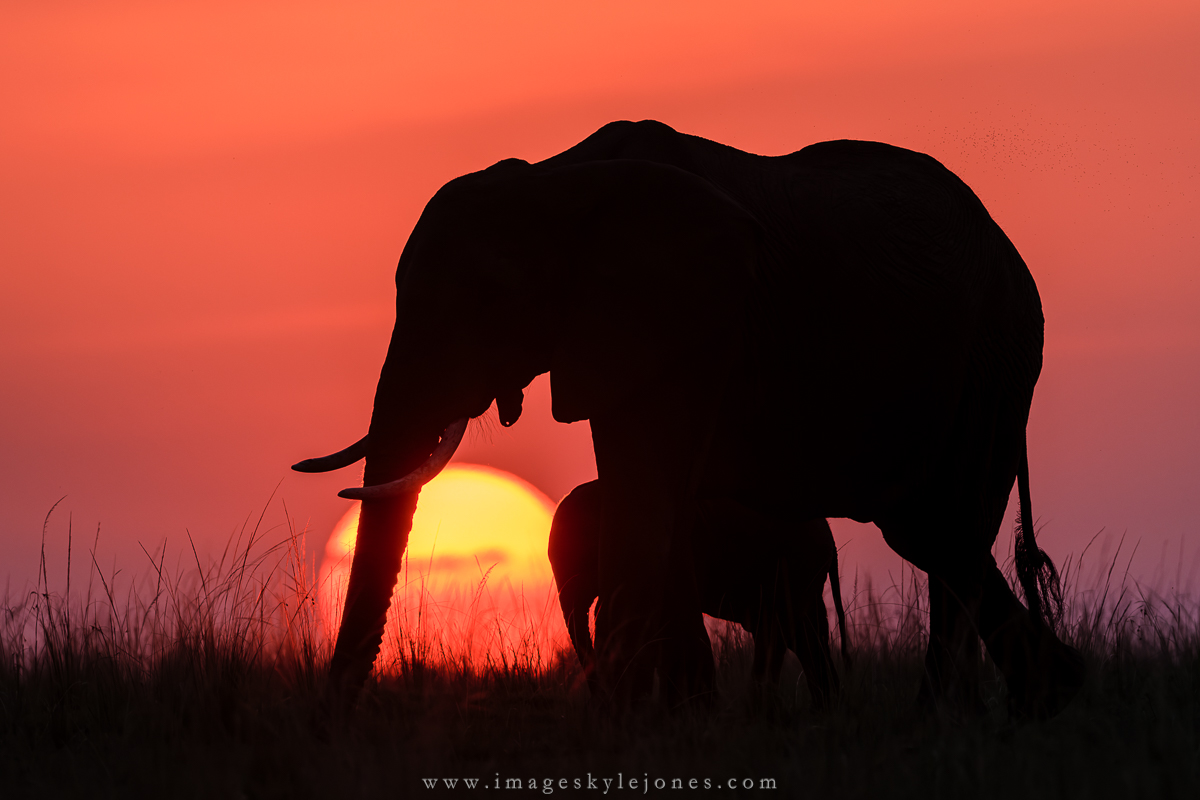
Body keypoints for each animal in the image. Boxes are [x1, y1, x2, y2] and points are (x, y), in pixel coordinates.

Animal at [548, 480, 850, 707]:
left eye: (588, 555)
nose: (599, 697)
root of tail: (831, 540)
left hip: (793, 567)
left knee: (777, 632)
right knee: (806, 637)